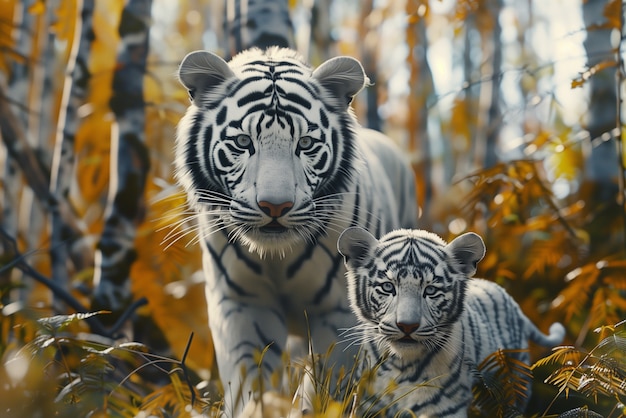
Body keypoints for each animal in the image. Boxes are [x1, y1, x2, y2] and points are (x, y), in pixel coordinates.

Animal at [172, 47, 414, 414]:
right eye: (243, 141)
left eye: (306, 143)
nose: (275, 206)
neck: (277, 257)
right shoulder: (242, 302)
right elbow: (250, 378)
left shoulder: (340, 311)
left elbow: (324, 381)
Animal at [336, 227, 564, 416]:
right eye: (387, 287)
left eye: (430, 290)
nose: (407, 326)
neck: (399, 364)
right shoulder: (367, 402)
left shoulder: (443, 407)